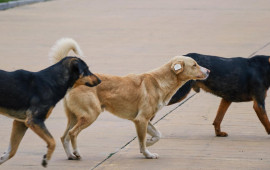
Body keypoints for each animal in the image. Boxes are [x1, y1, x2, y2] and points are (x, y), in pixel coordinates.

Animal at [0, 37, 100, 167]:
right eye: (86, 69)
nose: (100, 80)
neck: (52, 81)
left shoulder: (20, 123)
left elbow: (11, 151)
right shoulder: (34, 121)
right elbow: (52, 142)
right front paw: (46, 159)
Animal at [51, 38, 211, 159]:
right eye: (194, 65)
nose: (209, 71)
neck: (160, 81)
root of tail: (74, 81)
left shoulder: (145, 119)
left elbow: (158, 135)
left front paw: (150, 142)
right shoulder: (141, 120)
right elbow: (142, 141)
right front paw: (147, 153)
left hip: (74, 117)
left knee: (64, 137)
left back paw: (70, 155)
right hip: (90, 115)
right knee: (72, 133)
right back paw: (77, 153)